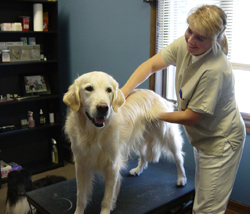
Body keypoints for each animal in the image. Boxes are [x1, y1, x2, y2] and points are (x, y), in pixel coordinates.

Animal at [63, 71, 187, 213]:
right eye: (89, 88)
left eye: (109, 90)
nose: (103, 108)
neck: (93, 133)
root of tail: (156, 94)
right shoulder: (81, 165)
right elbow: (81, 196)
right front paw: (78, 211)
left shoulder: (112, 167)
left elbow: (106, 199)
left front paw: (106, 209)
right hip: (140, 138)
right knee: (144, 156)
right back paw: (138, 170)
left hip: (168, 135)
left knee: (178, 157)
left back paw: (181, 178)